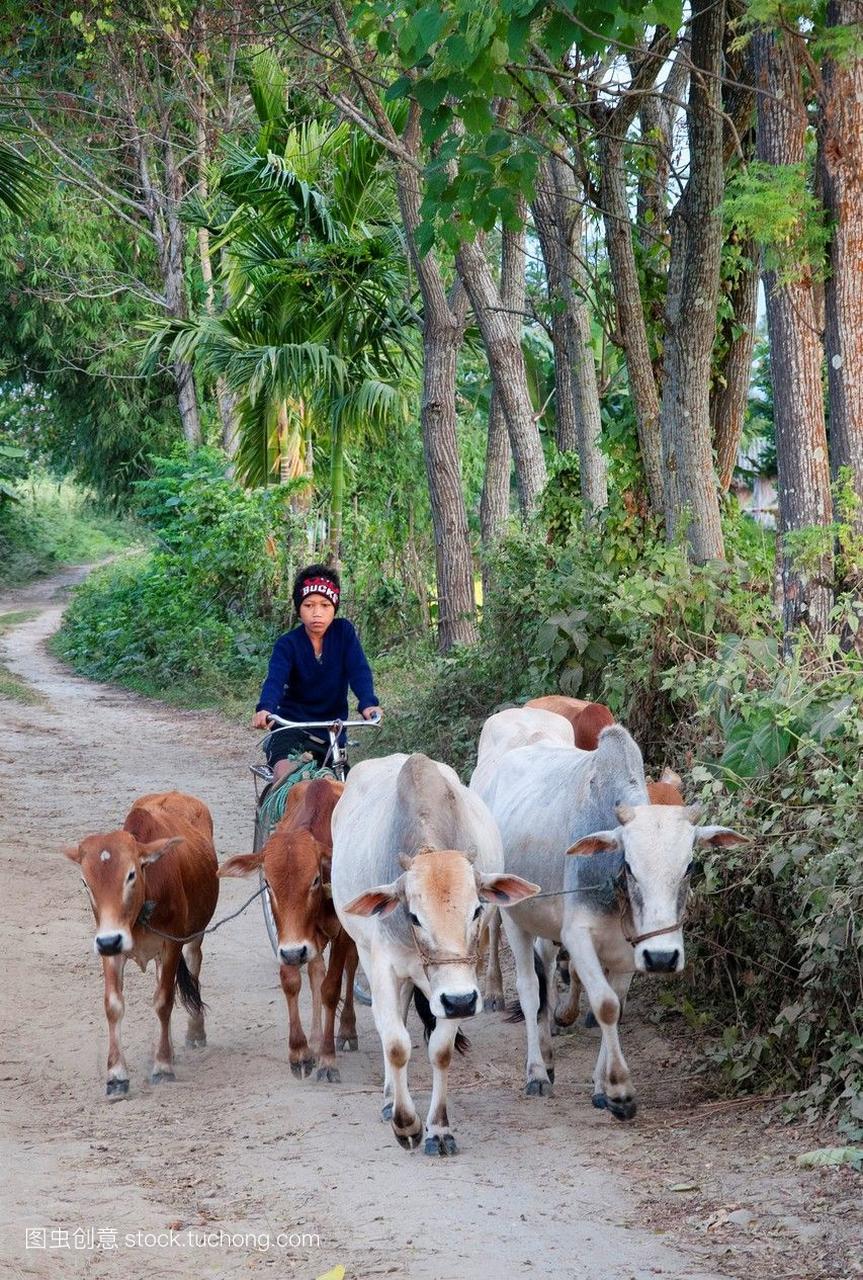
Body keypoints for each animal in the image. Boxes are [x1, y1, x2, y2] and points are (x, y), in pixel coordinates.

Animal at [64, 788, 218, 1100]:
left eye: (131, 874)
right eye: (86, 883)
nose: (109, 940)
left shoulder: (170, 946)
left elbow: (164, 1002)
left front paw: (162, 1067)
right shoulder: (110, 948)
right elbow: (114, 1005)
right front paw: (116, 1076)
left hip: (194, 935)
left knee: (193, 967)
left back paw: (194, 1033)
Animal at [221, 773, 358, 1085]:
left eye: (315, 880)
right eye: (268, 883)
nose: (295, 952)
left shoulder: (340, 934)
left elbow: (332, 988)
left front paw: (328, 1059)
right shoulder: (289, 939)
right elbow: (293, 981)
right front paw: (300, 1051)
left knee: (350, 968)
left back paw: (346, 1030)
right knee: (315, 971)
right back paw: (317, 1039)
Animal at [332, 752, 535, 1157]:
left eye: (476, 910)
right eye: (413, 916)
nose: (459, 1001)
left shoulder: (457, 986)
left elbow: (441, 1051)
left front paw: (438, 1130)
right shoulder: (384, 966)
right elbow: (395, 1044)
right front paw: (405, 1122)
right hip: (366, 953)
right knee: (389, 1024)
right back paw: (389, 1099)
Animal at [473, 721, 742, 1121]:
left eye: (690, 866)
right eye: (628, 864)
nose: (662, 958)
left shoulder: (629, 951)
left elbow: (616, 1004)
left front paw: (602, 1088)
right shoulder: (577, 936)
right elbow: (604, 1005)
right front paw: (619, 1090)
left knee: (546, 971)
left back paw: (549, 1055)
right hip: (514, 917)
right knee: (529, 988)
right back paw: (537, 1071)